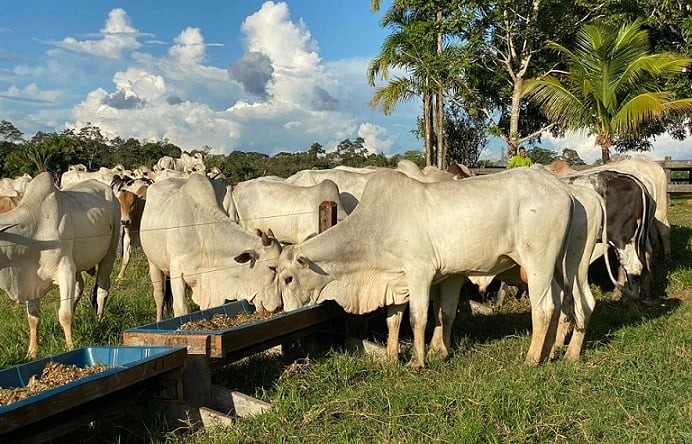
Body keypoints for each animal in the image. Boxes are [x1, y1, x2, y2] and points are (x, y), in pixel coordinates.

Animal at [0, 172, 119, 360]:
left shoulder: (65, 271)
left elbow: (64, 314)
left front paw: (70, 347)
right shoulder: (31, 282)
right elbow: (33, 318)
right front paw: (32, 352)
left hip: (110, 253)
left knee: (102, 289)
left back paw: (99, 320)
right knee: (79, 288)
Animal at [139, 172, 282, 320]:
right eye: (271, 268)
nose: (278, 307)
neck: (201, 232)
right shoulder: (176, 271)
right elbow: (181, 309)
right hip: (153, 264)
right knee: (159, 296)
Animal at [278, 166, 576, 368]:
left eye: (288, 279)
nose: (288, 313)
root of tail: (562, 189)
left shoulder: (419, 272)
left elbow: (418, 318)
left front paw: (417, 361)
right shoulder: (397, 279)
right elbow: (395, 319)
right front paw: (392, 356)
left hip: (538, 262)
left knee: (544, 307)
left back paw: (532, 358)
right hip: (558, 266)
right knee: (561, 303)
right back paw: (549, 353)